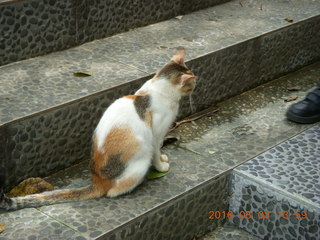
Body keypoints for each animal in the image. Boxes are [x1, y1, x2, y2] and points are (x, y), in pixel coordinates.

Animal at [0, 47, 196, 210]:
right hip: (142, 157)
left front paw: (163, 158)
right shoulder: (156, 137)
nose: (196, 85)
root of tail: (97, 181)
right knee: (113, 192)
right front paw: (161, 166)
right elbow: (157, 152)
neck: (157, 89)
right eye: (192, 82)